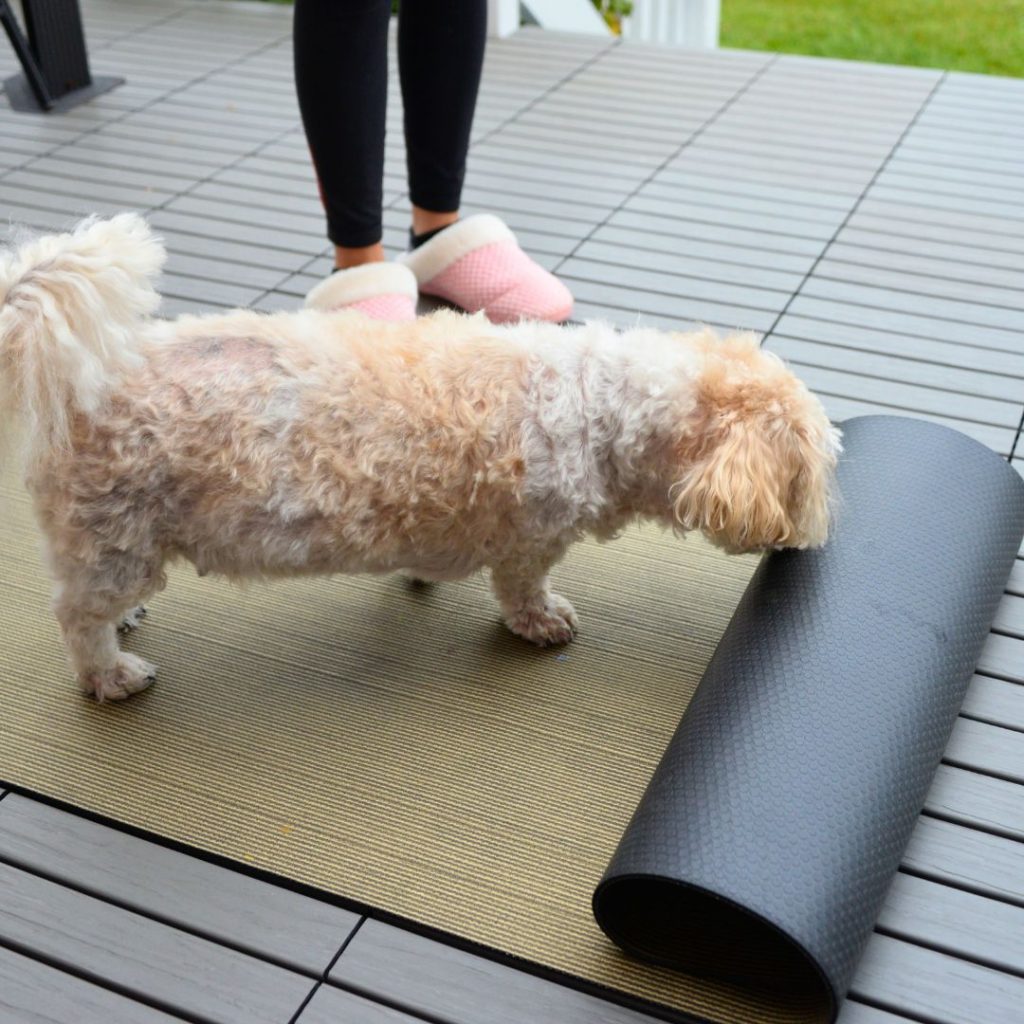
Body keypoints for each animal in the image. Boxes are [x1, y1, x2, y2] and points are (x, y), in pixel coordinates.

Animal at [0, 211, 839, 700]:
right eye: (814, 479)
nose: (817, 543)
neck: (604, 404)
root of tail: (86, 373)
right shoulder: (530, 540)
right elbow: (524, 590)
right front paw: (542, 622)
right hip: (115, 533)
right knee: (75, 616)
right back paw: (110, 673)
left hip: (117, 541)